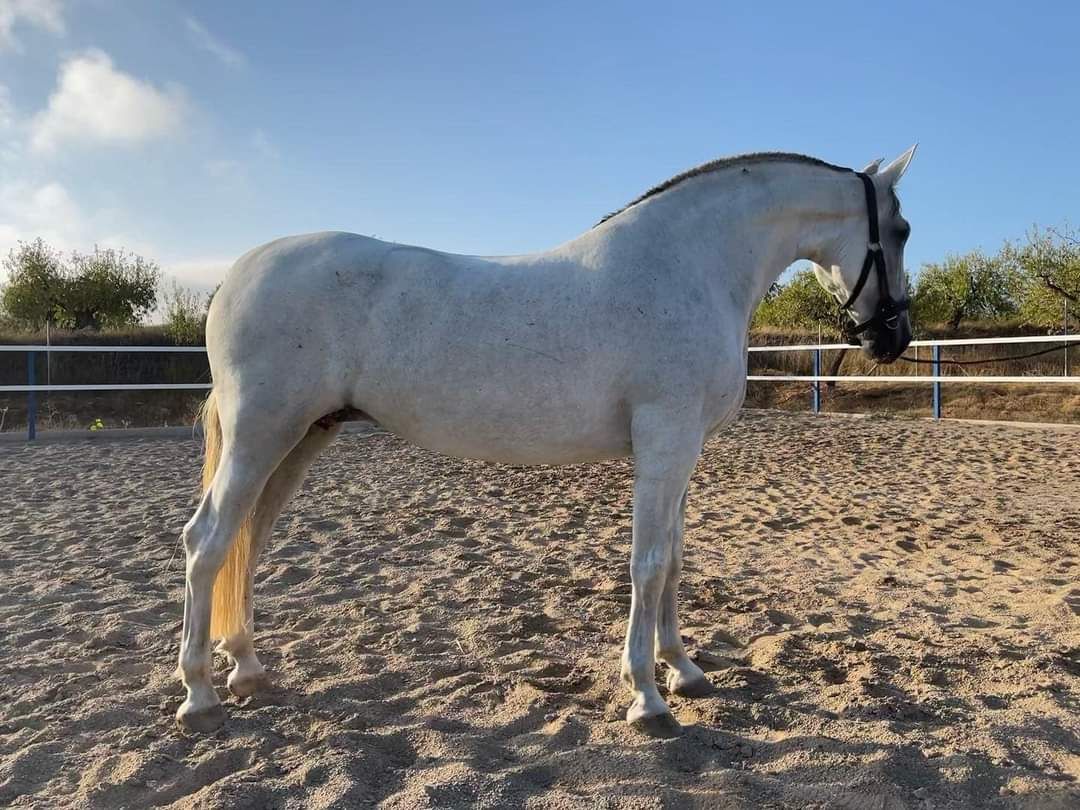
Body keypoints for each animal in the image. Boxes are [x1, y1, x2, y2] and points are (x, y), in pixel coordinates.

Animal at [176, 147, 916, 737]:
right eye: (902, 229)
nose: (893, 338)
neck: (691, 266)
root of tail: (236, 274)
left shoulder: (682, 452)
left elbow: (675, 560)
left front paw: (684, 670)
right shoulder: (665, 440)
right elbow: (648, 564)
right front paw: (647, 695)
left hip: (300, 437)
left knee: (249, 539)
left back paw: (247, 668)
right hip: (261, 434)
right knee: (208, 542)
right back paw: (199, 695)